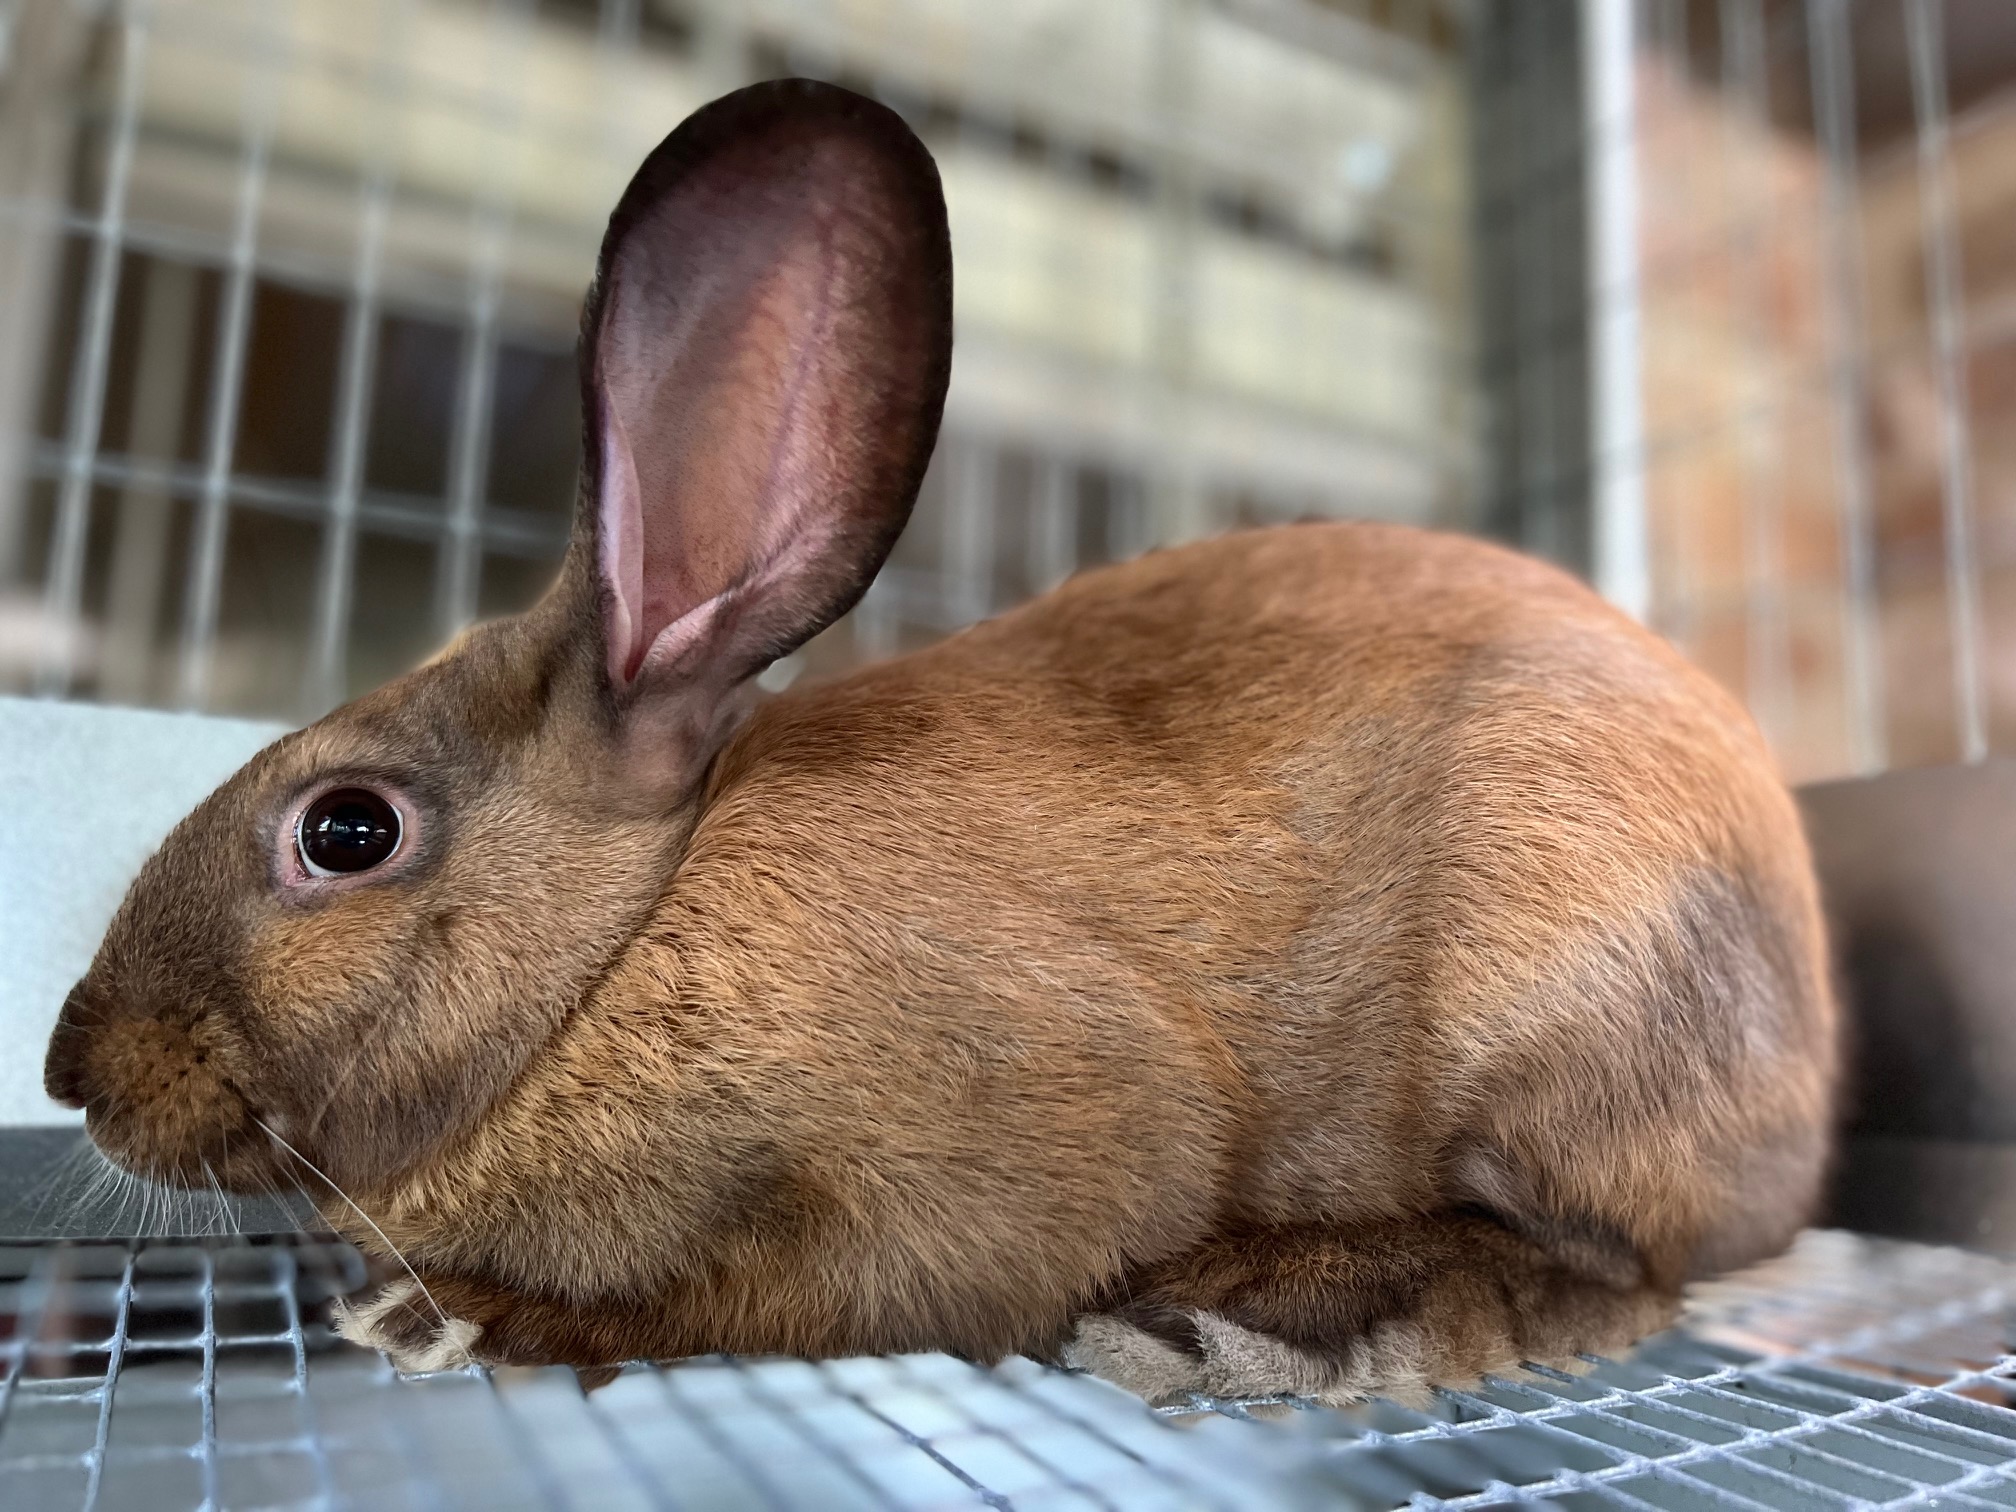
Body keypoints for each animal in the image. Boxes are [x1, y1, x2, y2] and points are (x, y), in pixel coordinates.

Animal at [44, 78, 1836, 1407]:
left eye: (345, 831)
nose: (72, 1068)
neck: (618, 952)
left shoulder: (986, 1161)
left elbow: (794, 1292)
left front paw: (468, 1318)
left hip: (1549, 999)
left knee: (1616, 1266)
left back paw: (1266, 1318)